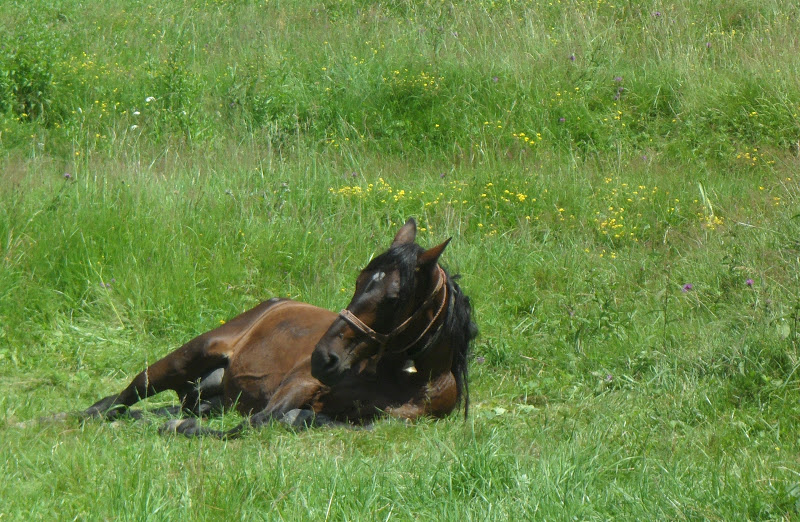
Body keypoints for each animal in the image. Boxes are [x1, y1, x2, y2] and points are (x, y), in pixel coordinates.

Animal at [83, 216, 476, 434]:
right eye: (359, 280)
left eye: (393, 298)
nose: (323, 358)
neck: (406, 379)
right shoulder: (297, 384)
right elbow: (251, 425)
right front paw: (181, 429)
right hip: (186, 357)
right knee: (119, 399)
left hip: (210, 397)